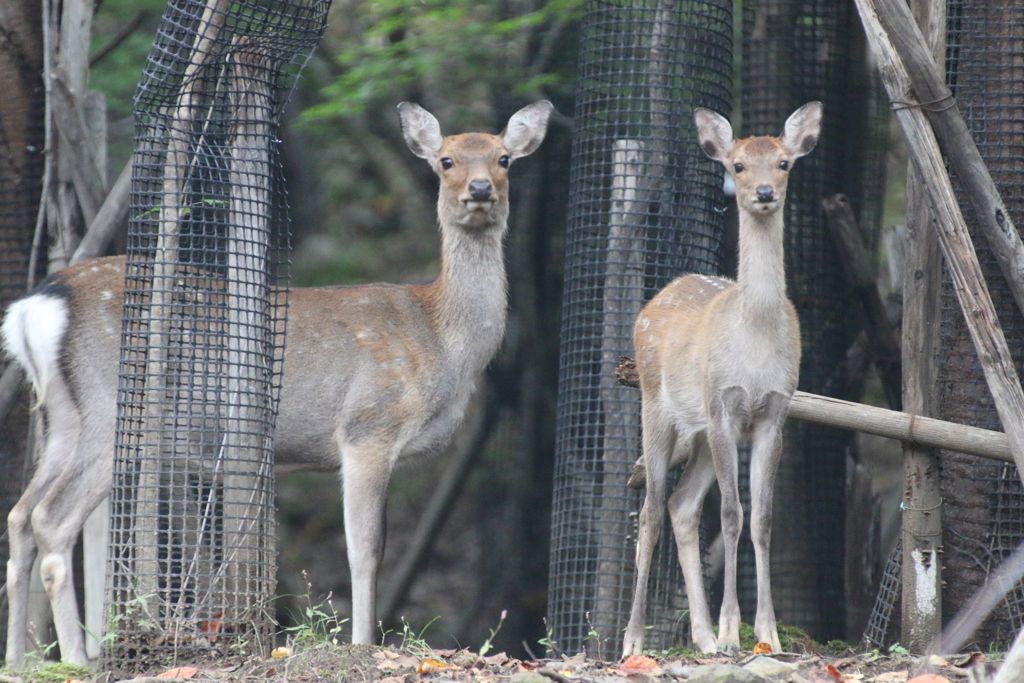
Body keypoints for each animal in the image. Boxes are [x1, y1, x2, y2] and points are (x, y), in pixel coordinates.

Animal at [0, 101, 552, 667]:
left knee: (20, 518)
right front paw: (362, 644)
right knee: (51, 520)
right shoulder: (368, 425)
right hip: (114, 409)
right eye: (446, 161)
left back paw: (17, 660)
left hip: (64, 417)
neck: (443, 340)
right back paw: (74, 658)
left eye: (504, 158)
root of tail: (37, 305)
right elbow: (366, 549)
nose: (480, 189)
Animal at [614, 101, 823, 655]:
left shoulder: (774, 411)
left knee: (683, 506)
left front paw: (767, 633)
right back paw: (634, 642)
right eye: (738, 165)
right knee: (651, 511)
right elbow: (731, 514)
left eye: (784, 163)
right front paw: (734, 629)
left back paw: (702, 639)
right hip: (657, 406)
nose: (764, 193)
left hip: (703, 432)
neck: (754, 342)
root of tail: (661, 293)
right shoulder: (725, 406)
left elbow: (763, 519)